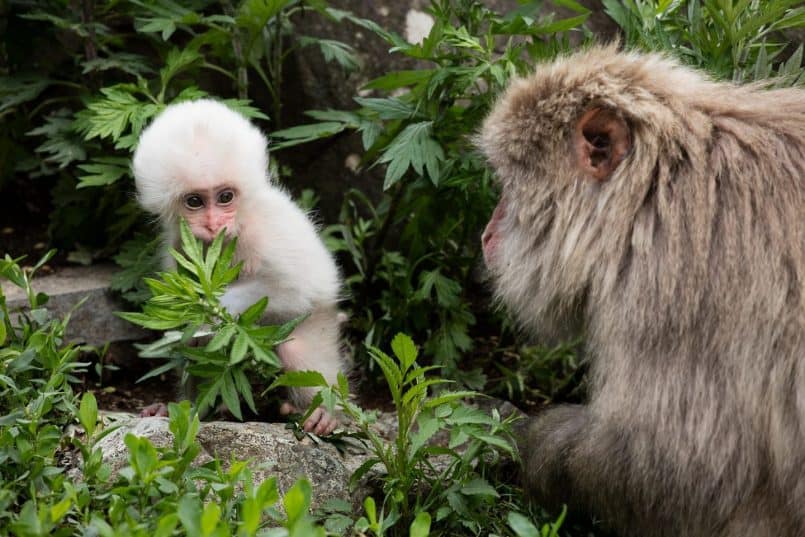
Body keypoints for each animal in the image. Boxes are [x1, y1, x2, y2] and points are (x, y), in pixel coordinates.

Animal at [133, 98, 346, 436]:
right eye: (194, 201)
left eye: (225, 197)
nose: (213, 224)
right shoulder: (179, 245)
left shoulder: (261, 233)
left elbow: (297, 290)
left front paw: (215, 307)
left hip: (320, 332)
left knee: (297, 347)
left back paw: (323, 415)